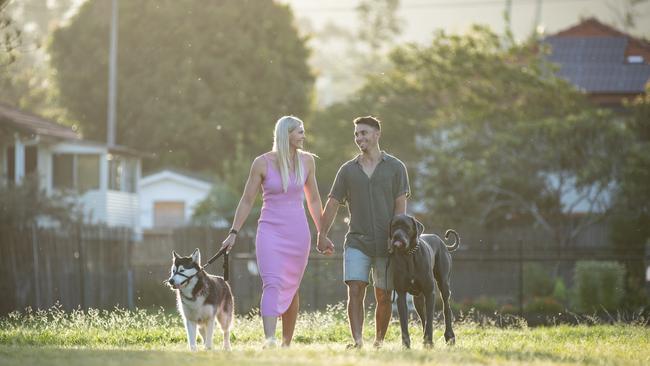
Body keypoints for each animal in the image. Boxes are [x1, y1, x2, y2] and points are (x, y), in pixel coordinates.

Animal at [388, 214, 458, 348]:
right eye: (393, 226)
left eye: (406, 227)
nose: (396, 236)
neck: (409, 255)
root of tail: (441, 241)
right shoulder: (401, 295)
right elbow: (404, 322)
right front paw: (406, 345)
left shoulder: (430, 293)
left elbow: (430, 318)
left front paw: (428, 342)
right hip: (418, 299)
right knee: (423, 316)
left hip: (444, 285)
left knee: (446, 308)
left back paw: (449, 336)